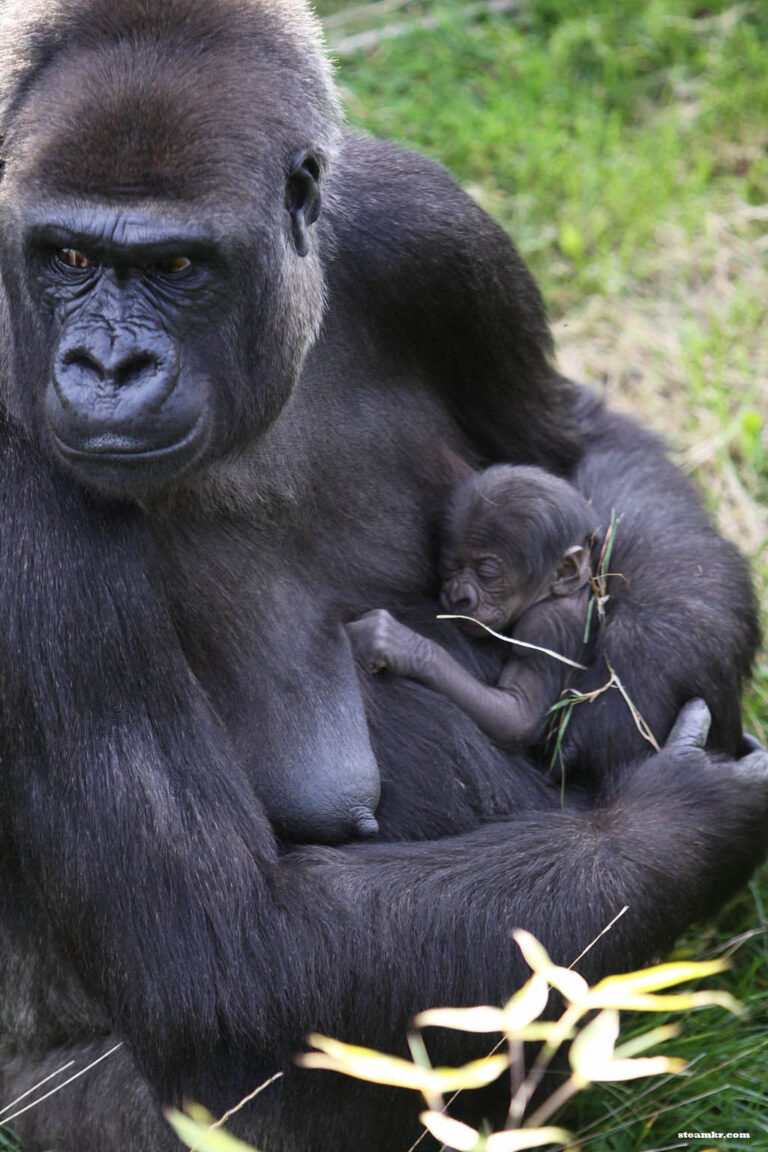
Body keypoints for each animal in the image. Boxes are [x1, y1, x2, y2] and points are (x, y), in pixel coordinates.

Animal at [347, 463, 598, 751]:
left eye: (486, 574)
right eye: (450, 567)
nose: (458, 596)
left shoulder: (542, 626)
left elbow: (518, 716)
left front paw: (399, 645)